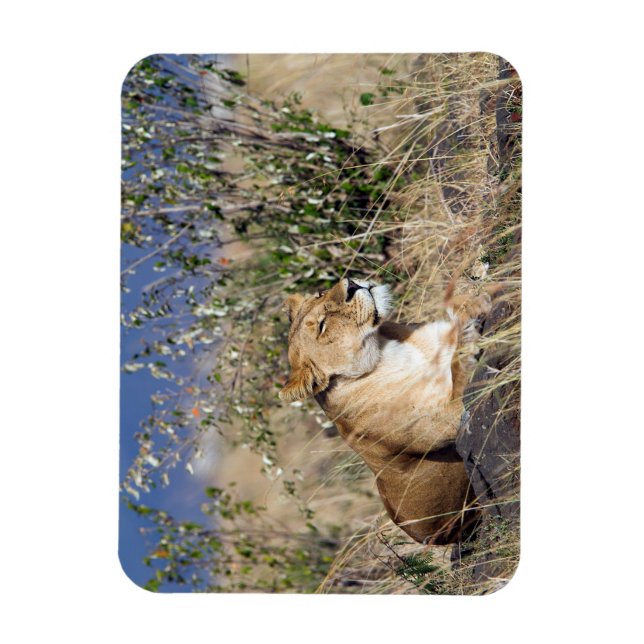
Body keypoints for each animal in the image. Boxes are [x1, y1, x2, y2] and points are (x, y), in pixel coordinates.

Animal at [279, 277, 490, 544]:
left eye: (320, 293)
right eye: (321, 326)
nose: (351, 285)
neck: (384, 350)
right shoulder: (448, 421)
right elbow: (458, 368)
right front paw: (468, 327)